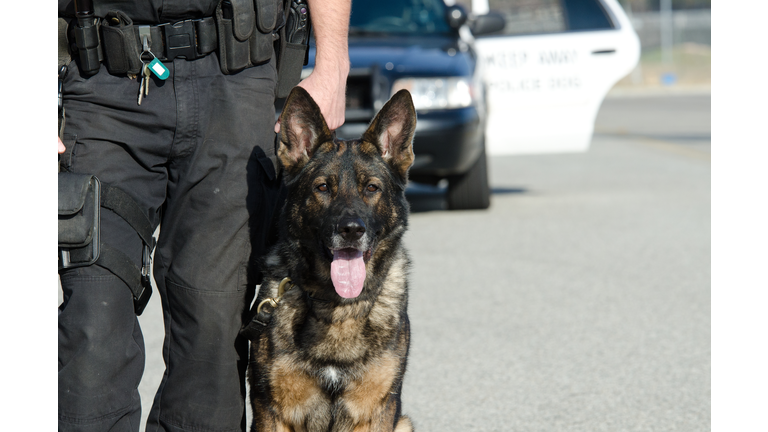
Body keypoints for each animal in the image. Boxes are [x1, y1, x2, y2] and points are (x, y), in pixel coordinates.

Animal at [242, 86, 416, 430]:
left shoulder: (378, 412)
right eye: (322, 187)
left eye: (371, 188)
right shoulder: (272, 411)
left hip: (404, 423)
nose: (351, 230)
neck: (337, 307)